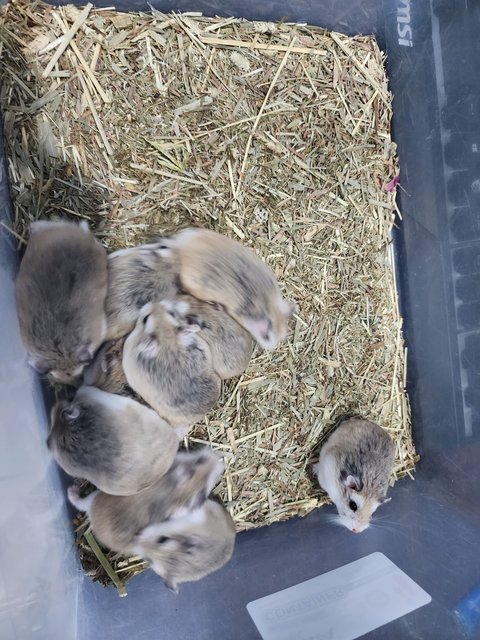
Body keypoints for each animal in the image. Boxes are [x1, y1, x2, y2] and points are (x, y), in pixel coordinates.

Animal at [66, 444, 226, 552]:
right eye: (202, 495)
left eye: (200, 460)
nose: (220, 462)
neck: (170, 490)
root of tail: (92, 515)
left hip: (96, 496)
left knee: (79, 501)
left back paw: (72, 488)